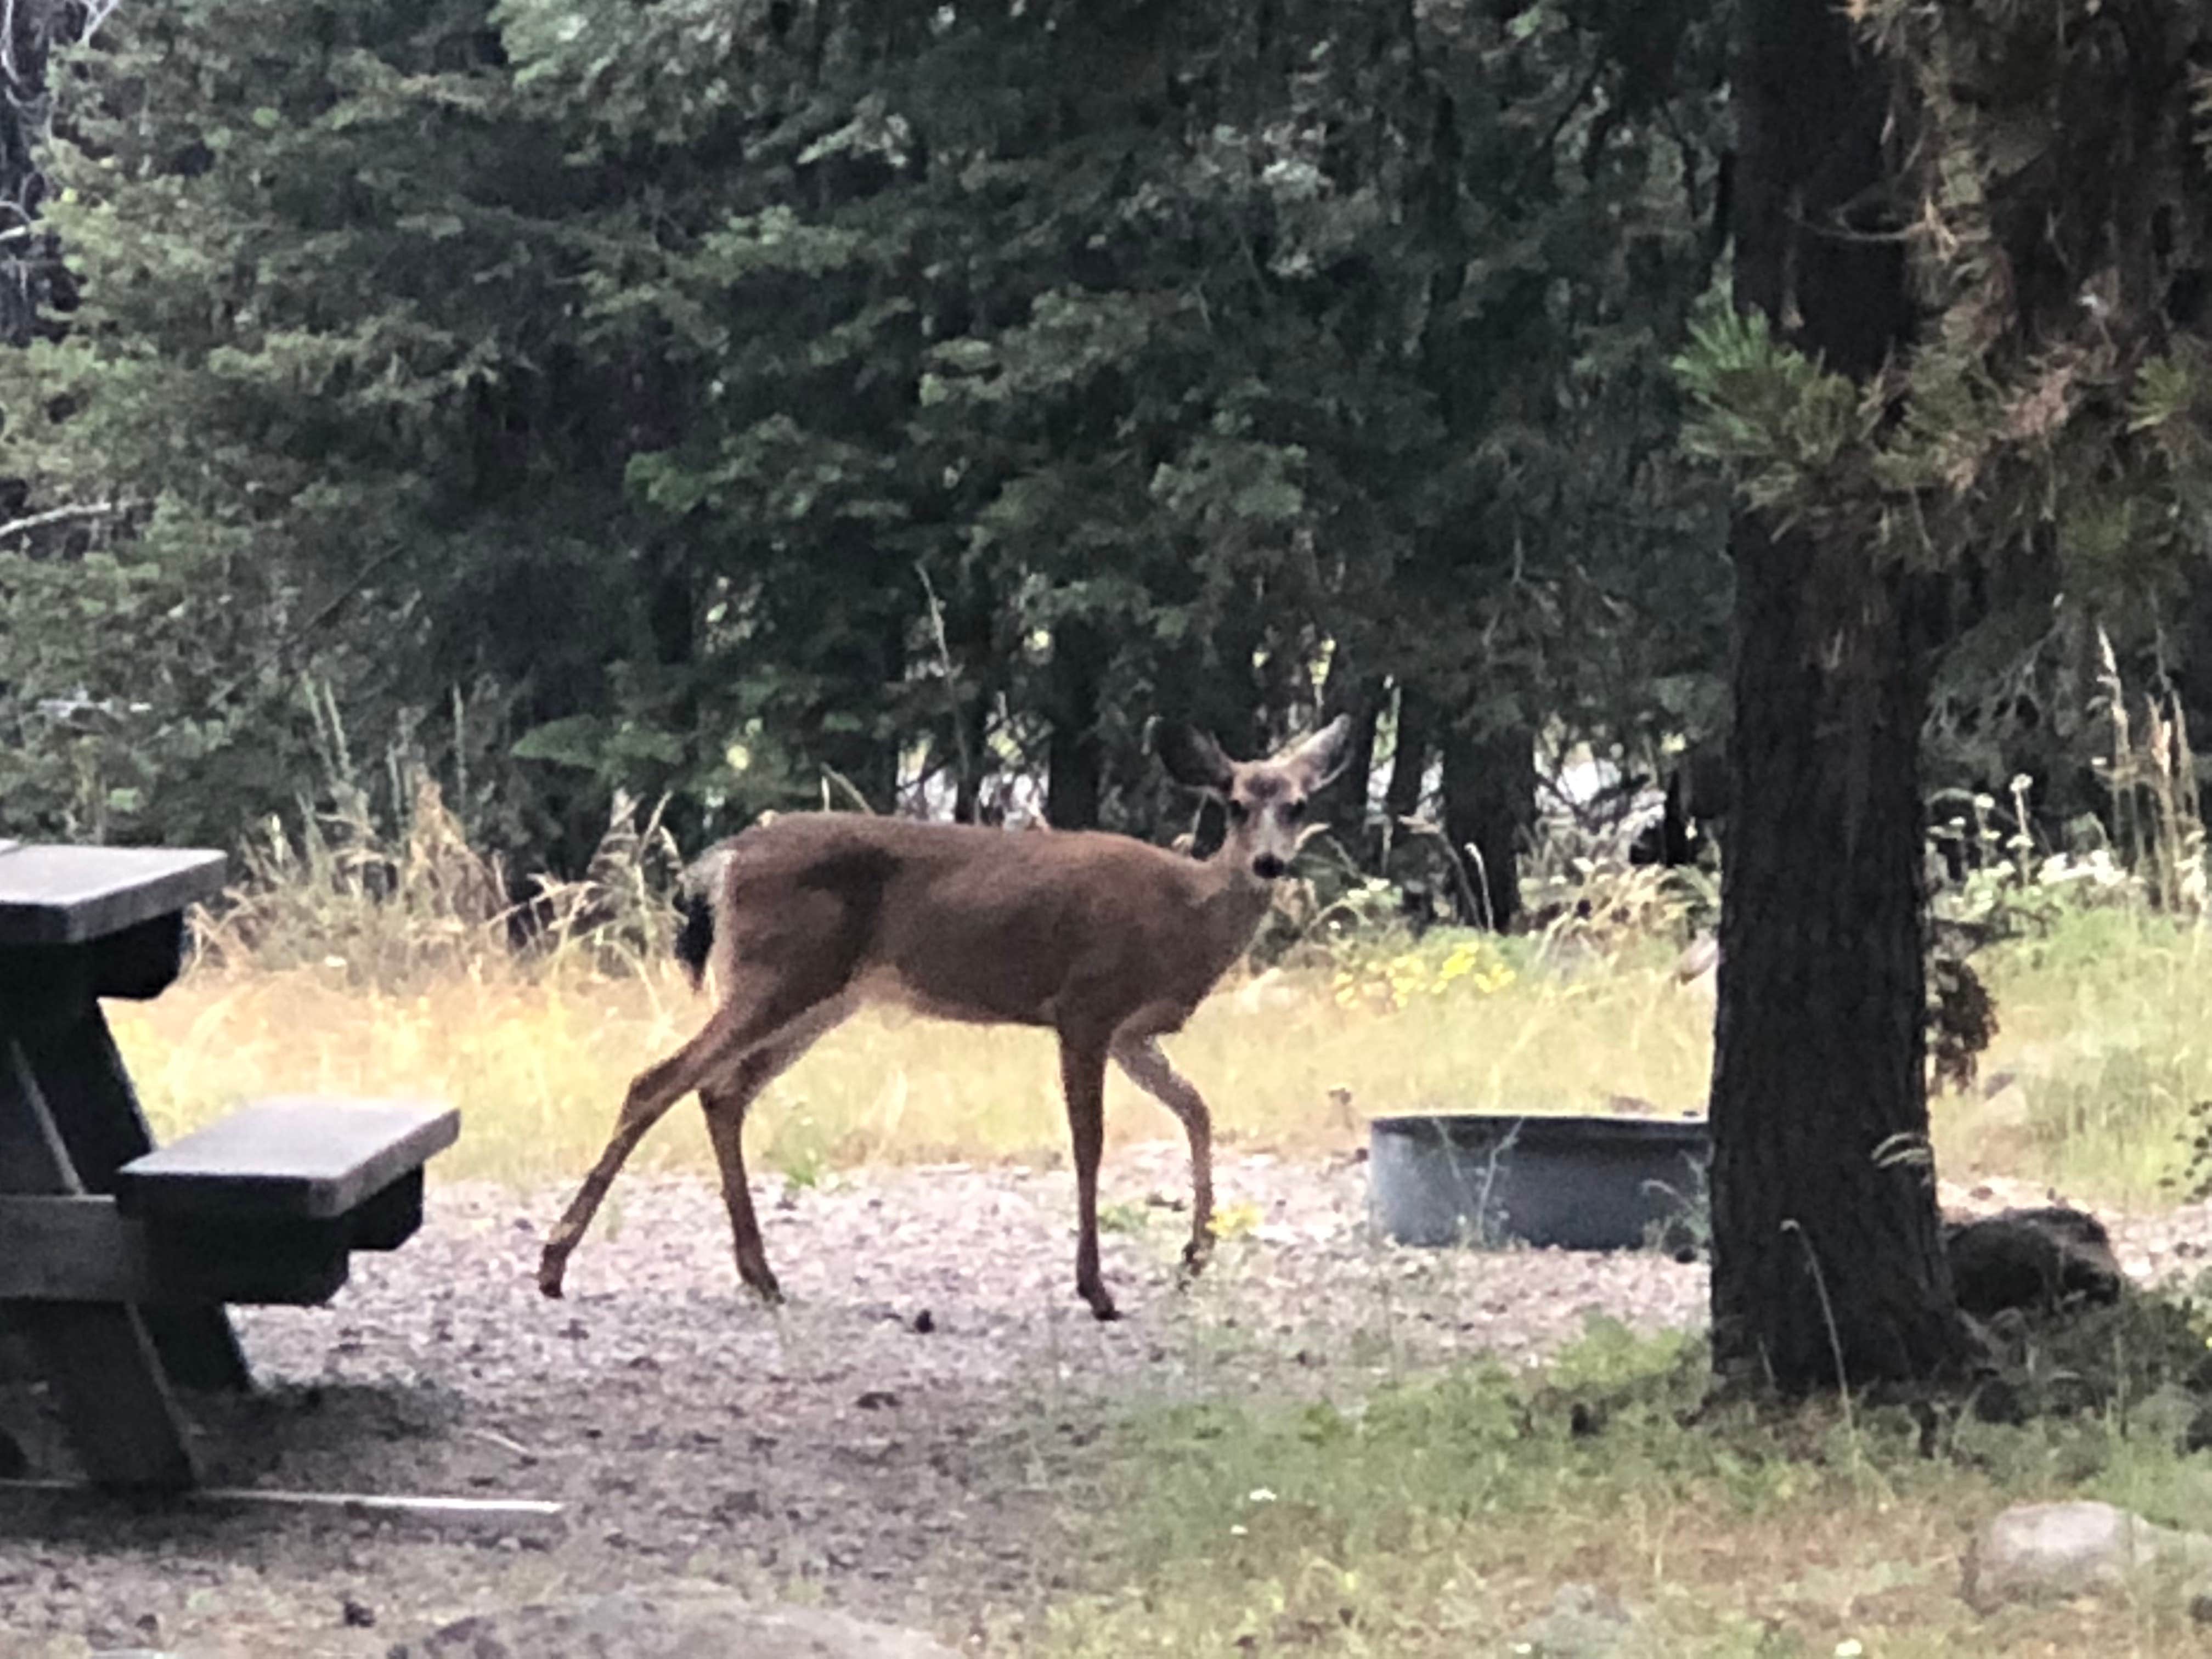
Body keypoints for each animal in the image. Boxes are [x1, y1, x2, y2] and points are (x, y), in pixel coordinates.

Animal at [544, 716, 1353, 1327]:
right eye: (1236, 803)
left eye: (1299, 804)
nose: (1270, 865)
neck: (1184, 916)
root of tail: (725, 860)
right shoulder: (1084, 1007)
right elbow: (1089, 1144)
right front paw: (1097, 1288)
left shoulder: (1133, 1033)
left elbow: (1197, 1111)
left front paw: (1194, 1257)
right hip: (778, 977)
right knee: (658, 1079)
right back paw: (555, 1263)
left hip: (820, 996)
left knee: (721, 1091)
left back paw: (761, 1276)